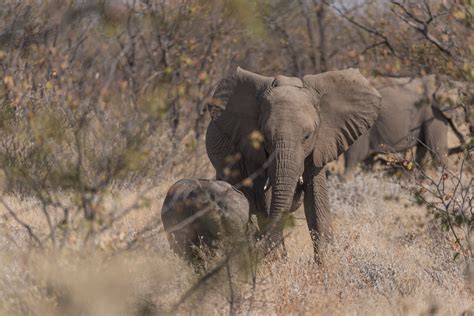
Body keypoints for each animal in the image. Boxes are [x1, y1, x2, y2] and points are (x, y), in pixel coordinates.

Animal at [205, 67, 382, 262]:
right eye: (264, 137)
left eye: (307, 136)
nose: (259, 242)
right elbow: (267, 199)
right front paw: (275, 260)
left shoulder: (320, 142)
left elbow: (316, 197)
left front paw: (326, 261)